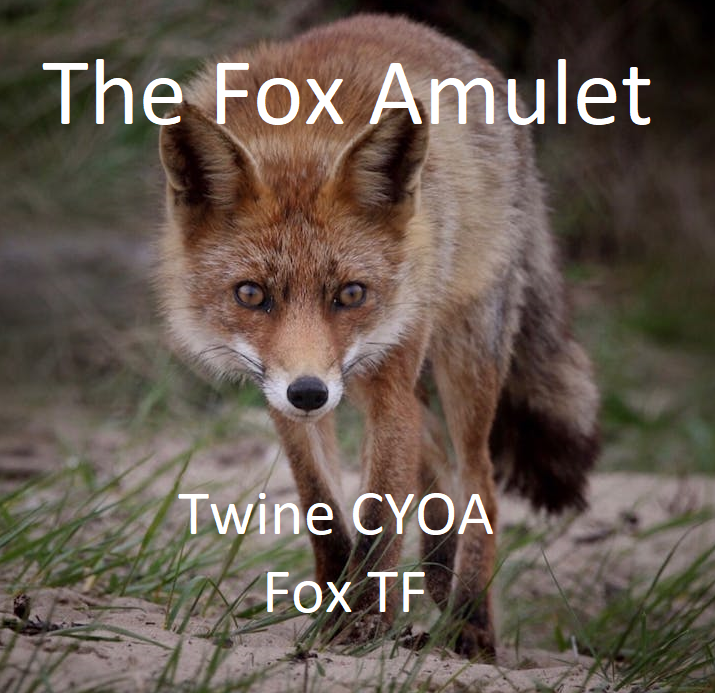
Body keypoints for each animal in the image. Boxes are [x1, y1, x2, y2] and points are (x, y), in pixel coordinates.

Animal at [157, 14, 599, 659]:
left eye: (350, 294)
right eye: (251, 294)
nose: (309, 392)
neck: (300, 133)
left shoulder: (386, 385)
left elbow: (381, 518)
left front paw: (364, 623)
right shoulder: (281, 397)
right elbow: (325, 512)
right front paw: (340, 608)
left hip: (459, 356)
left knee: (479, 481)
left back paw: (470, 622)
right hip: (375, 378)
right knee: (434, 456)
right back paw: (438, 574)